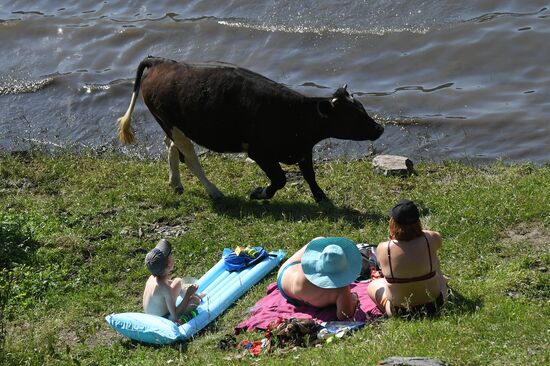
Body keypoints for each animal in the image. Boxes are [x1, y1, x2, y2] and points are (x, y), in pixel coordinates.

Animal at [117, 55, 384, 202]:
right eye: (354, 117)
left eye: (362, 108)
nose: (379, 128)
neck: (294, 115)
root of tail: (160, 61)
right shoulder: (260, 152)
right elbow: (280, 179)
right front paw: (259, 193)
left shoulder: (302, 150)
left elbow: (310, 175)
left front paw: (322, 198)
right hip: (172, 125)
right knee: (189, 157)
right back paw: (214, 192)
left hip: (174, 126)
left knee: (172, 147)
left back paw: (176, 183)